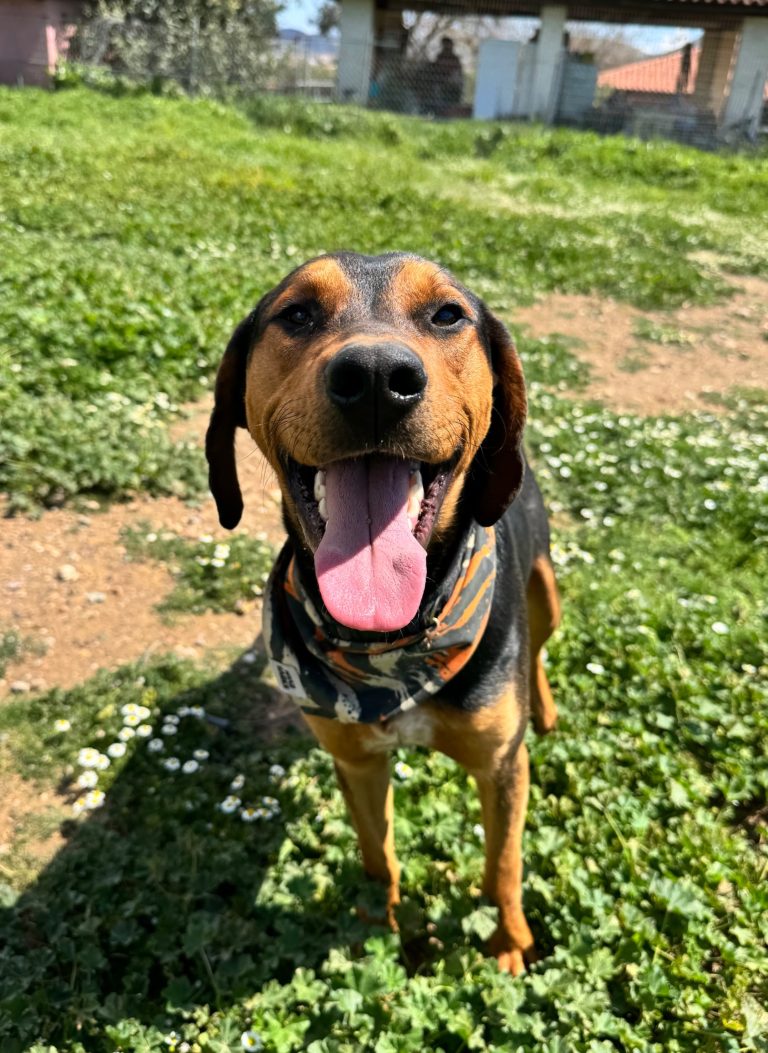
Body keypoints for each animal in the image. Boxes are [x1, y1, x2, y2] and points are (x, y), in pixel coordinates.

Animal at [206, 252, 560, 974]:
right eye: (297, 312)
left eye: (448, 314)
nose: (374, 377)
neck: (394, 647)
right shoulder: (359, 763)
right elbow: (377, 855)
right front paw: (375, 924)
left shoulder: (501, 768)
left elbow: (503, 865)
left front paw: (508, 943)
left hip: (545, 589)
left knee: (539, 647)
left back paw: (544, 707)